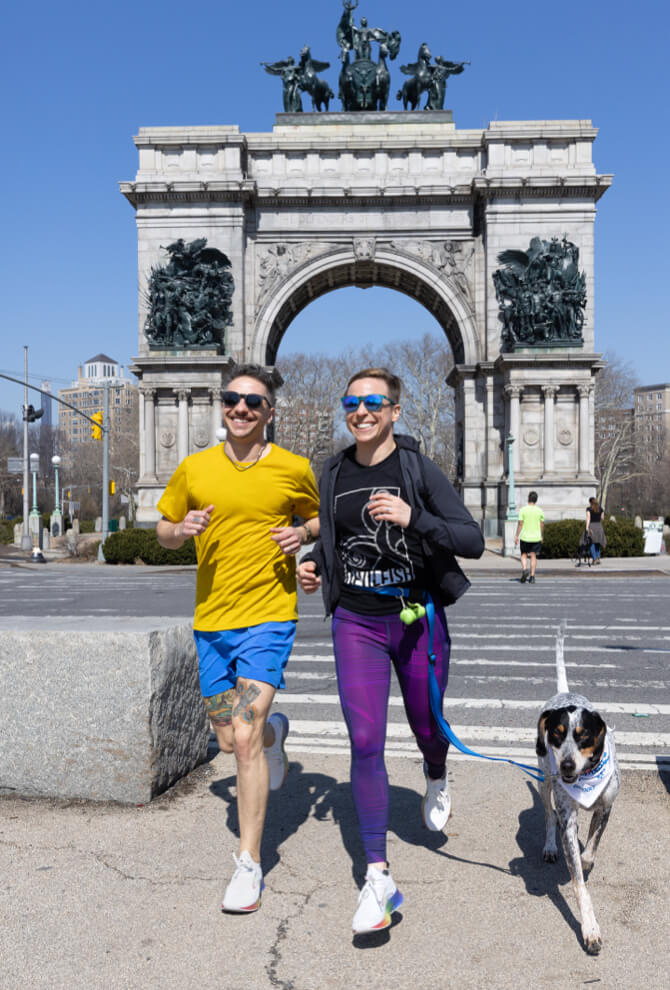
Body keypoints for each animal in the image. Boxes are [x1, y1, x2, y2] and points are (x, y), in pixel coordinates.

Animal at [540, 624, 624, 956]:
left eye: (583, 735)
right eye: (556, 734)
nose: (566, 765)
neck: (586, 775)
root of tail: (564, 692)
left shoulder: (606, 806)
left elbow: (590, 848)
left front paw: (587, 857)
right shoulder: (568, 813)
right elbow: (579, 882)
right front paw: (590, 929)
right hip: (544, 778)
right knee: (549, 815)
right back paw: (550, 846)